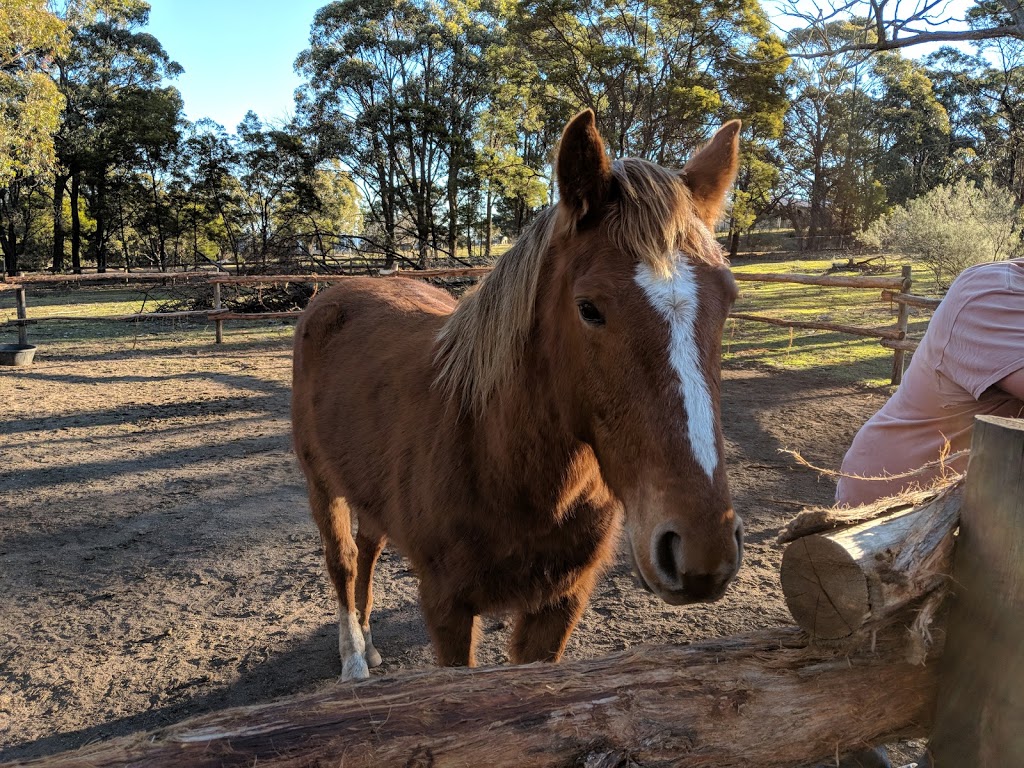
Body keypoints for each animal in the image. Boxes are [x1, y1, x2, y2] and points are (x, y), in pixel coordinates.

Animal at [292, 111, 741, 684]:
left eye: (728, 300)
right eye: (589, 308)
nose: (701, 548)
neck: (497, 458)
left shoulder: (559, 605)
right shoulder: (446, 607)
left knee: (369, 549)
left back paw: (369, 646)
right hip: (321, 484)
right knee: (344, 561)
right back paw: (353, 658)